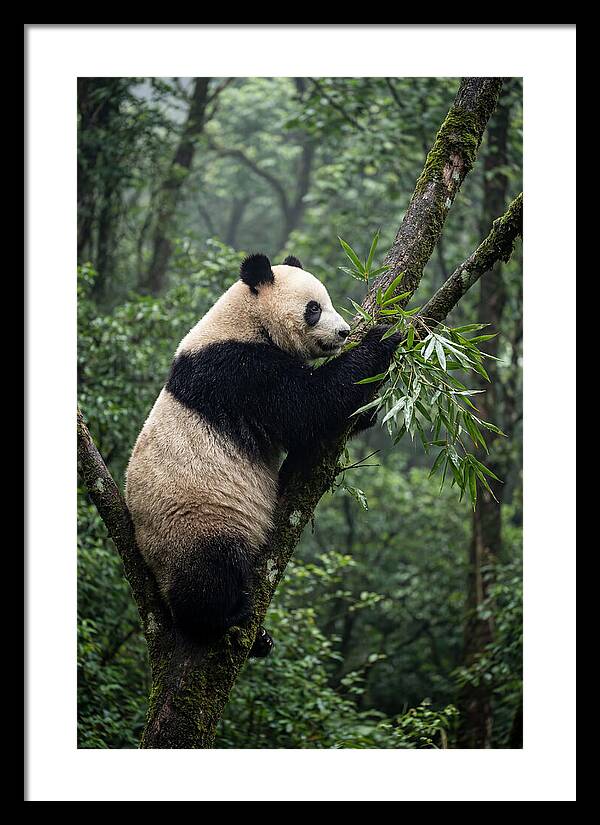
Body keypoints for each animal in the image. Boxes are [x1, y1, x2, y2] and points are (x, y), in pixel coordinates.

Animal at [125, 254, 401, 657]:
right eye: (314, 309)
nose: (344, 333)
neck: (245, 320)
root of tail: (150, 565)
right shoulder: (238, 370)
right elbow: (308, 406)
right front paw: (382, 338)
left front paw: (367, 410)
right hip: (194, 521)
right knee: (210, 573)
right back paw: (224, 617)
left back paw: (261, 639)